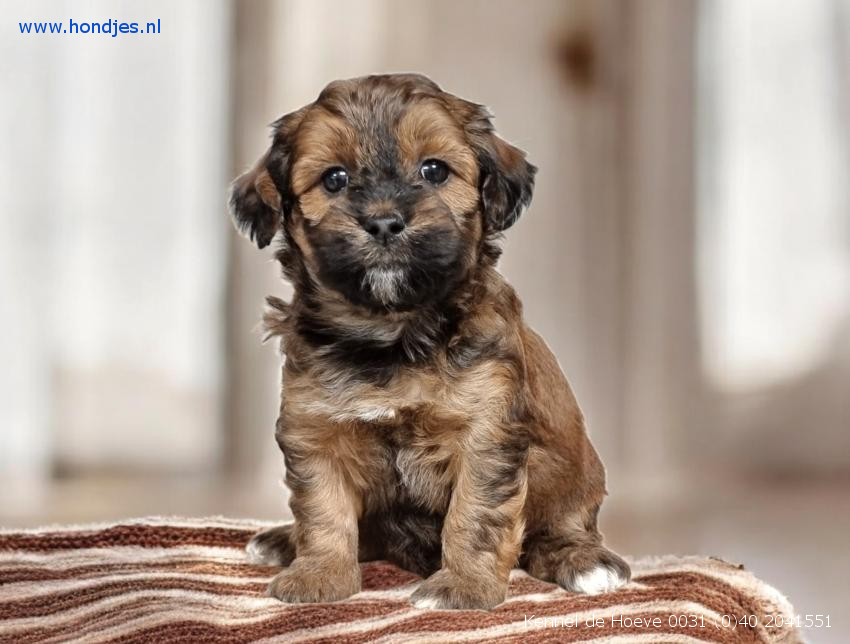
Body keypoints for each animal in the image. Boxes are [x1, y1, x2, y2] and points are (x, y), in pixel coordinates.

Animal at [230, 73, 630, 610]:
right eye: (334, 179)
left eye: (434, 170)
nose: (383, 221)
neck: (392, 334)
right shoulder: (315, 430)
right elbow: (322, 509)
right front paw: (319, 573)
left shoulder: (487, 433)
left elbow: (475, 515)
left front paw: (462, 586)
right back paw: (283, 540)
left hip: (575, 486)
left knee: (561, 530)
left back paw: (583, 562)